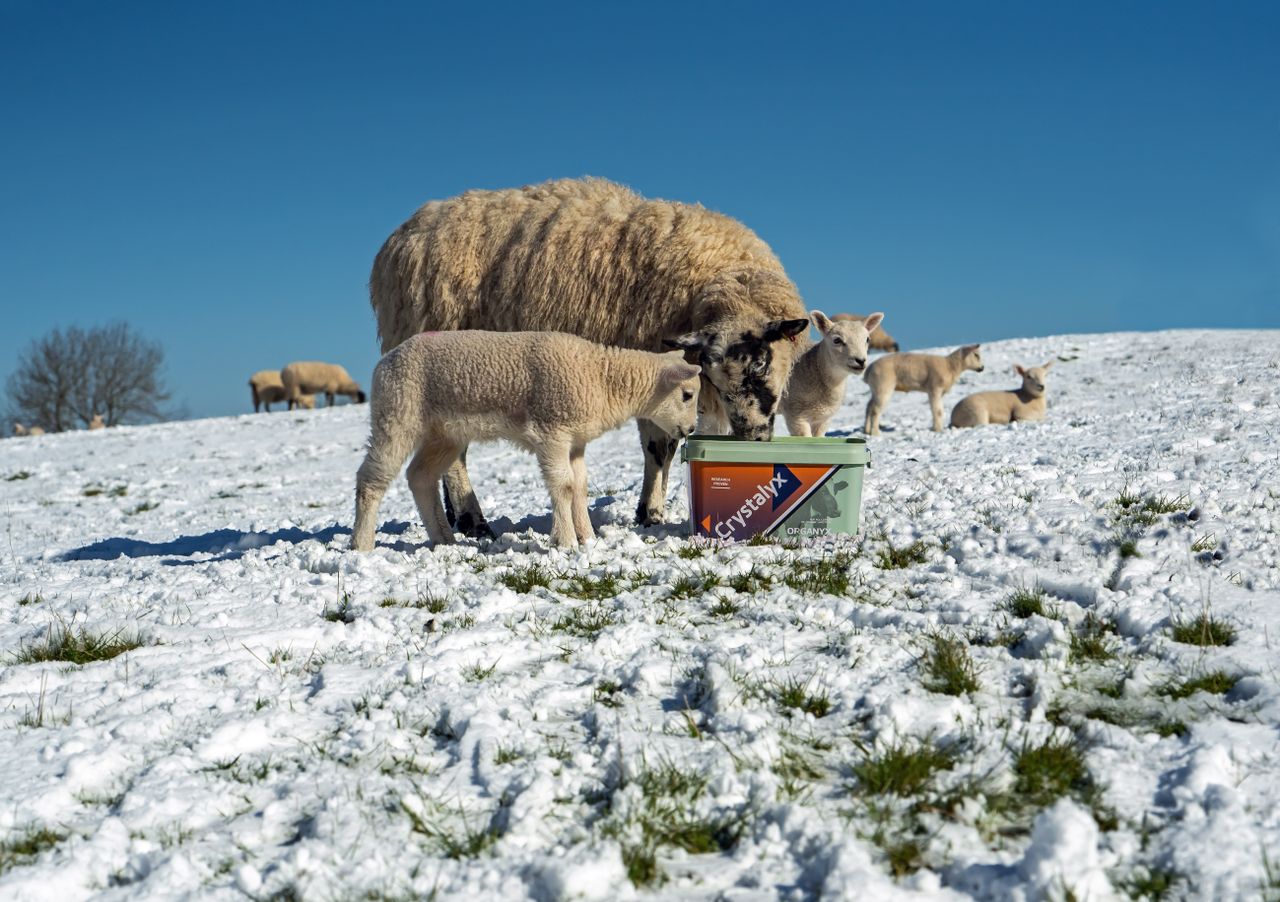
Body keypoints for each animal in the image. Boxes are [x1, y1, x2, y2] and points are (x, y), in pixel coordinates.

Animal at [350, 330, 701, 551]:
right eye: (687, 395)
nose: (692, 429)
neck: (601, 378)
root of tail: (385, 361)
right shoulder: (551, 432)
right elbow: (563, 485)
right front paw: (566, 541)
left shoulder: (576, 442)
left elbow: (580, 487)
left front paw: (588, 537)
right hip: (397, 414)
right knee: (371, 479)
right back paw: (362, 544)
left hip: (444, 433)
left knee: (420, 477)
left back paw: (443, 539)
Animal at [369, 177, 809, 537]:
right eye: (729, 371)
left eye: (761, 363)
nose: (754, 439)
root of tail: (402, 234)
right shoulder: (651, 370)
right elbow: (659, 447)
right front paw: (649, 513)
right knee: (454, 457)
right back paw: (474, 520)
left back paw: (459, 517)